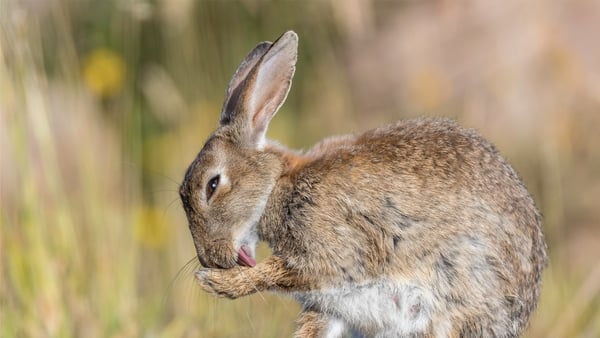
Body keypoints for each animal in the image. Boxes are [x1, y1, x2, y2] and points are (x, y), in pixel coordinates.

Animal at [179, 30, 548, 336]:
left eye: (212, 185)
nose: (210, 259)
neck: (277, 187)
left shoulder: (333, 253)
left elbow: (282, 272)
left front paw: (218, 283)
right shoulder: (329, 307)